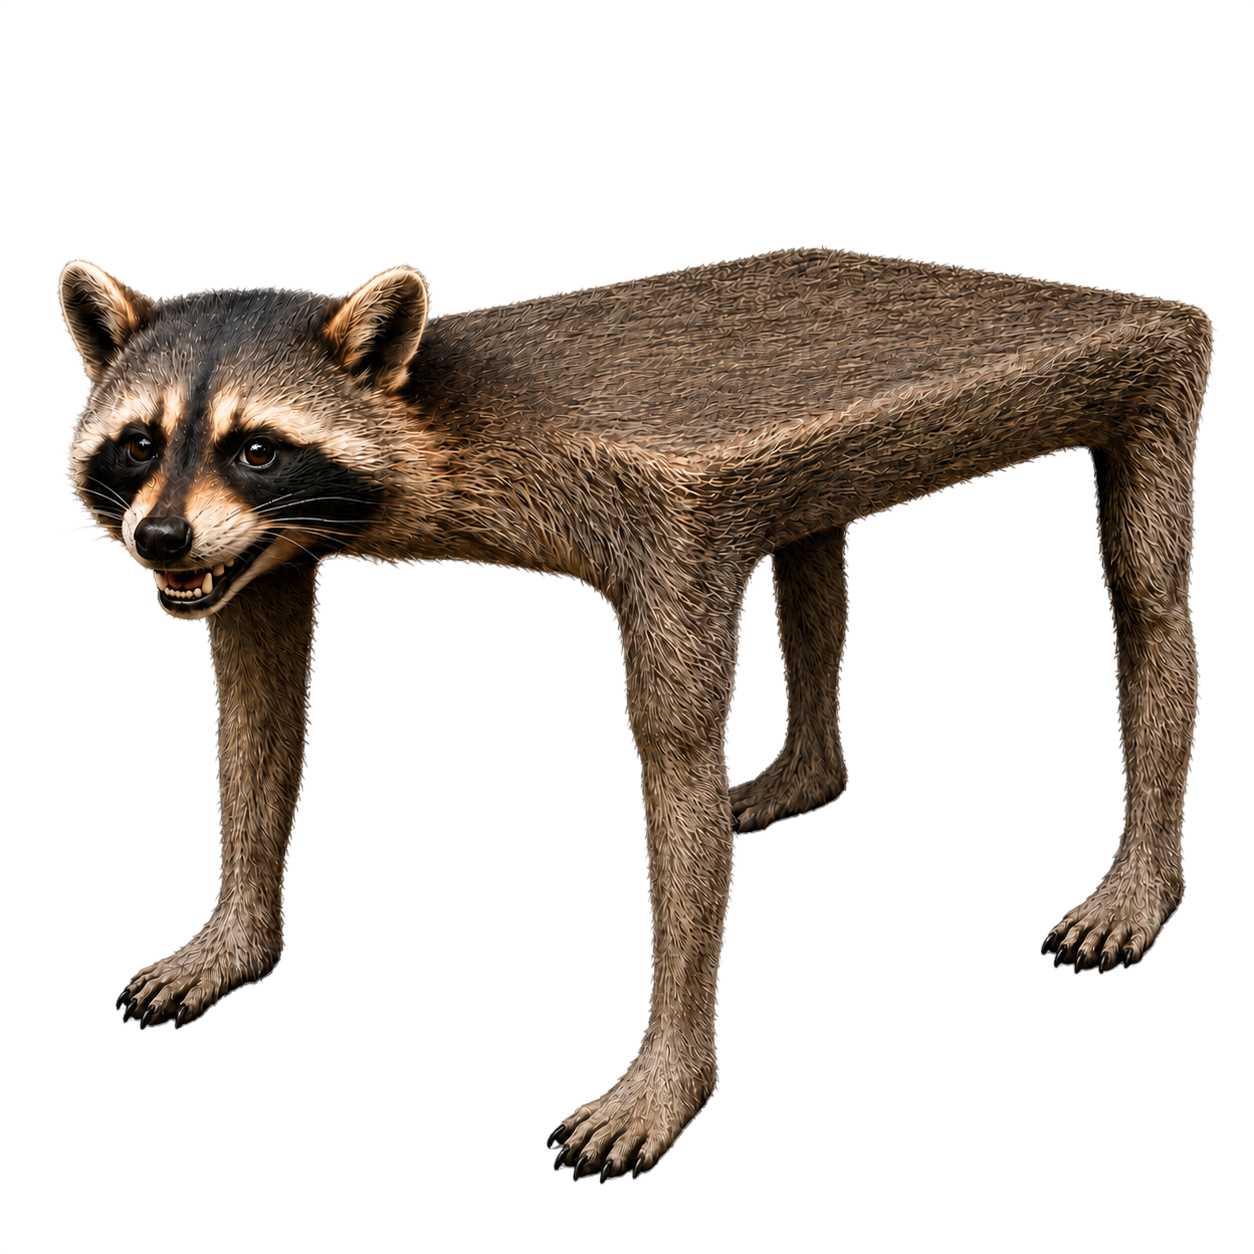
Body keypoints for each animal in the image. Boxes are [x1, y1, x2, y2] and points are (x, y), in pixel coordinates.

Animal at [60, 249, 1212, 1180]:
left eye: (256, 448)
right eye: (138, 444)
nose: (159, 538)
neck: (440, 409)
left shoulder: (670, 524)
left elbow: (677, 761)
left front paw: (671, 1072)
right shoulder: (266, 552)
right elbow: (257, 709)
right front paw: (235, 934)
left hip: (1155, 379)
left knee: (1150, 600)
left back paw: (1143, 874)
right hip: (815, 468)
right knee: (813, 553)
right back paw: (809, 768)